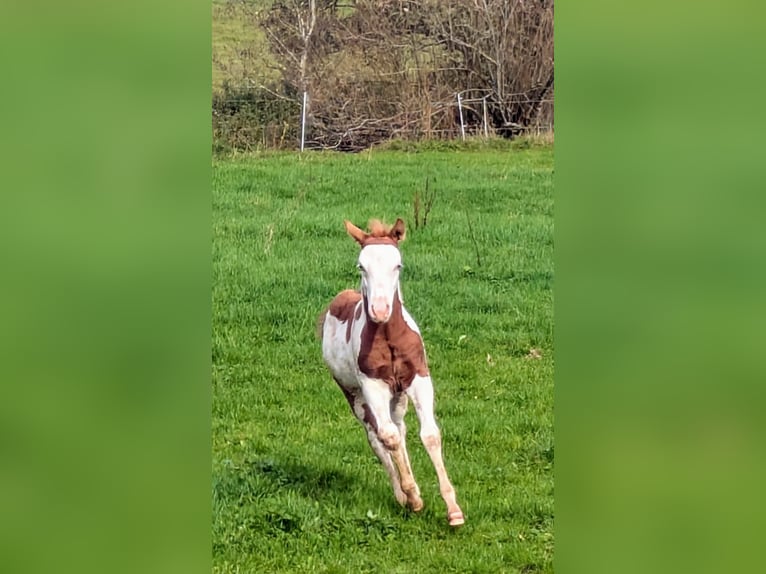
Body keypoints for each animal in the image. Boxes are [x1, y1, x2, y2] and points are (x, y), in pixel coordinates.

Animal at [316, 218, 464, 528]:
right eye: (361, 266)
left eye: (398, 265)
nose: (380, 310)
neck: (388, 337)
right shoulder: (372, 386)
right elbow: (388, 438)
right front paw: (413, 497)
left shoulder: (419, 379)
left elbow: (430, 435)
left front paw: (453, 510)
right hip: (354, 394)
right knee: (378, 436)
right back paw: (402, 496)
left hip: (398, 396)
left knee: (400, 427)